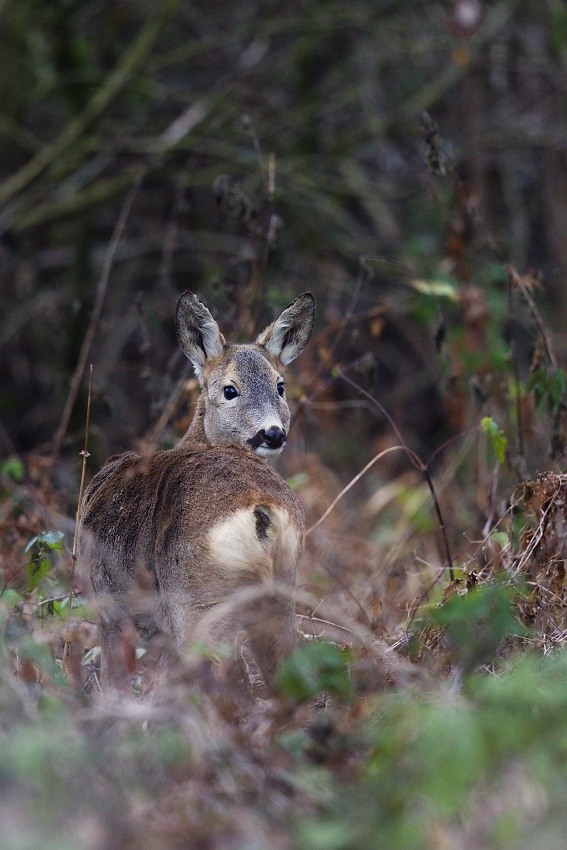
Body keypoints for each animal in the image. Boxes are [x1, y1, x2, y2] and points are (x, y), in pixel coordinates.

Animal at [77, 291, 316, 692]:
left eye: (279, 386)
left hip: (197, 599)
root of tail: (260, 509)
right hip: (283, 588)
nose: (273, 433)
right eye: (230, 389)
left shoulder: (109, 610)